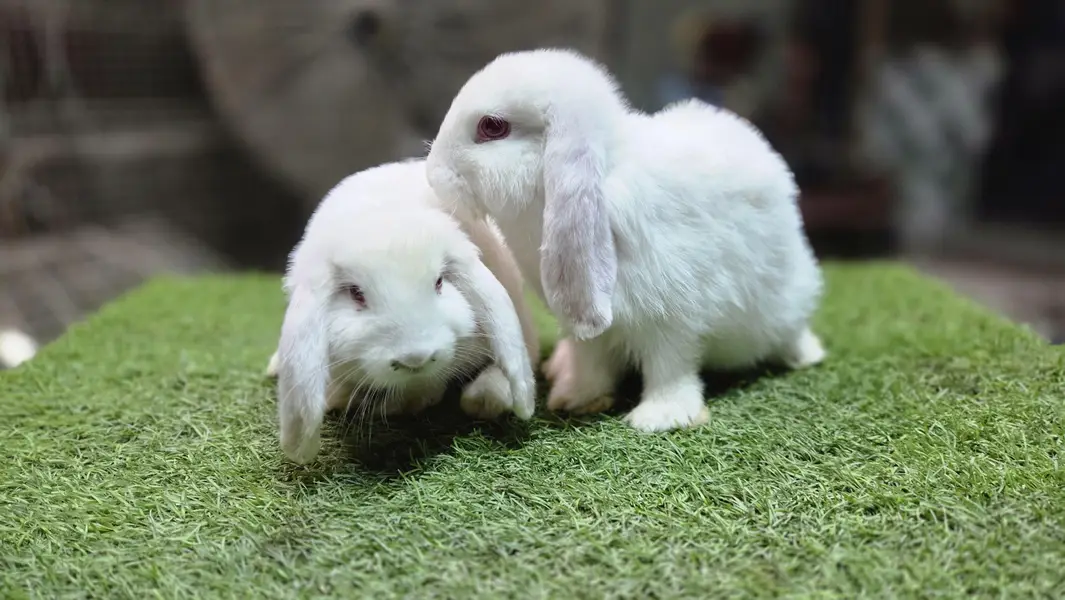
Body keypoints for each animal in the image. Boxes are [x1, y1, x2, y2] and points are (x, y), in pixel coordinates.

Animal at [425, 48, 826, 433]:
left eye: (492, 126)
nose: (432, 174)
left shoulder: (673, 317)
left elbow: (670, 366)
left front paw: (660, 418)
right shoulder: (589, 326)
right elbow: (591, 359)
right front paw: (575, 398)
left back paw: (806, 356)